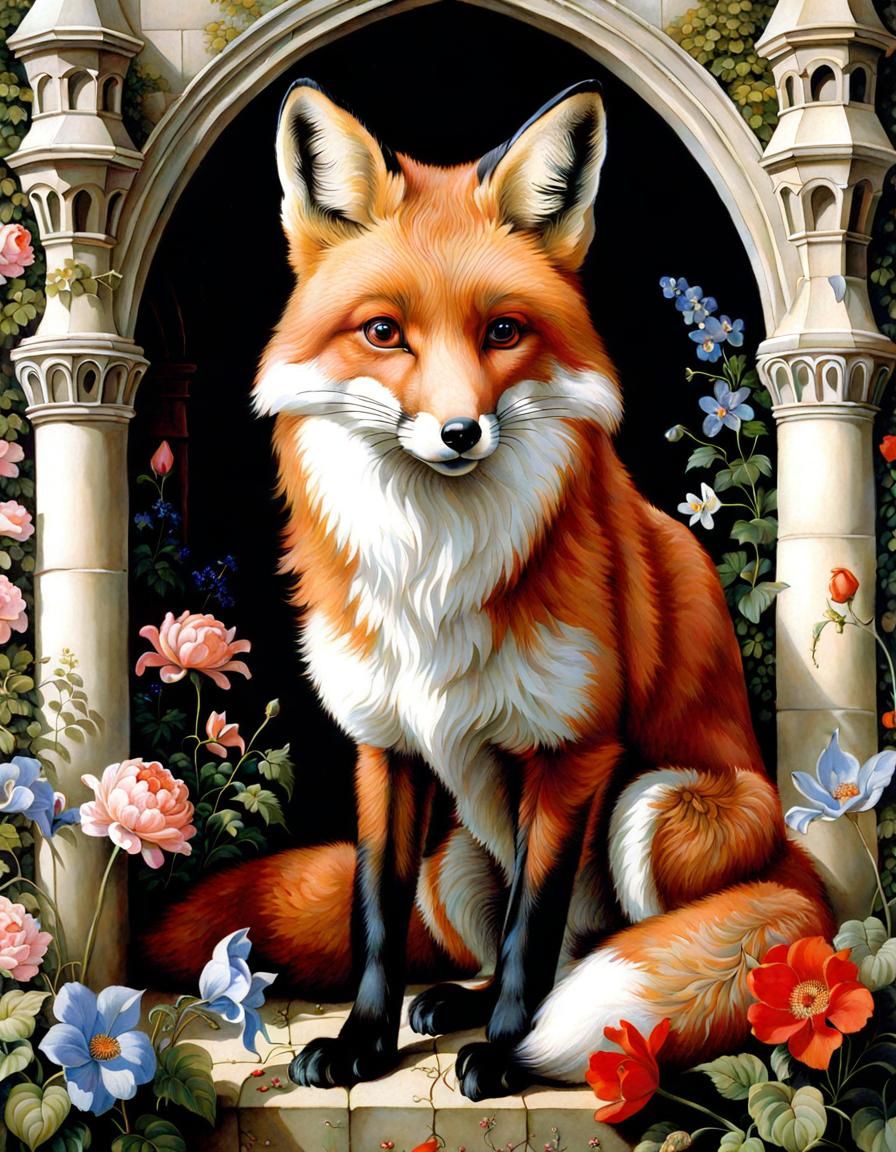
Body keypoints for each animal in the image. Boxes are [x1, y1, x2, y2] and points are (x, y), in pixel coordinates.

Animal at [147, 78, 835, 1102]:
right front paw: (364, 1042)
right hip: (459, 863)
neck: (434, 577)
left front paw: (510, 1055)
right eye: (384, 333)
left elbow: (531, 932)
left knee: (594, 947)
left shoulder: (574, 751)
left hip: (659, 808)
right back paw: (449, 1005)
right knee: (513, 938)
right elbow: (379, 921)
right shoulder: (384, 747)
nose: (460, 432)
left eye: (503, 331)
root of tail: (805, 871)